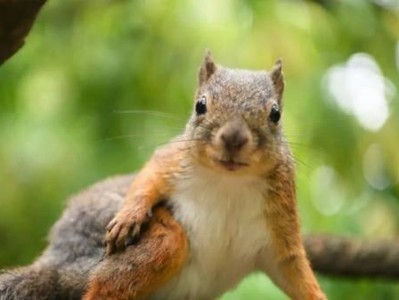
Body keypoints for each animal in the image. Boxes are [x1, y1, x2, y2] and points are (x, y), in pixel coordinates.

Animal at [0, 50, 326, 298]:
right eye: (200, 105)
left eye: (275, 114)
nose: (233, 139)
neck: (228, 181)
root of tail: (55, 260)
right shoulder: (173, 160)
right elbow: (149, 176)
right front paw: (129, 215)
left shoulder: (280, 220)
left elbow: (294, 269)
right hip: (121, 245)